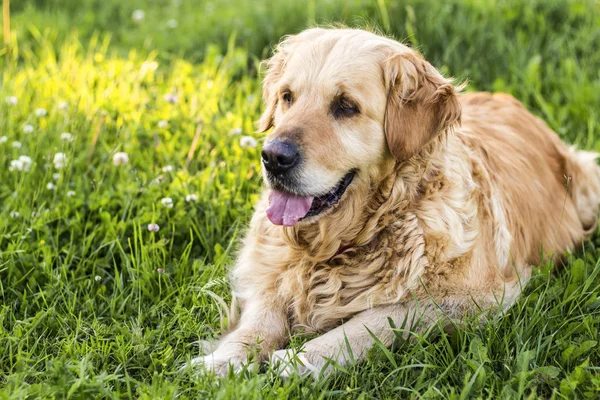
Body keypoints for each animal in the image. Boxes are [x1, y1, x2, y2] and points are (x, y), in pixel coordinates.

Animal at [188, 28, 600, 378]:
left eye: (346, 106)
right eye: (287, 96)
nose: (273, 157)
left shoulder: (475, 298)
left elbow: (373, 321)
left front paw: (300, 360)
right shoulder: (265, 271)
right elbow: (259, 320)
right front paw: (222, 360)